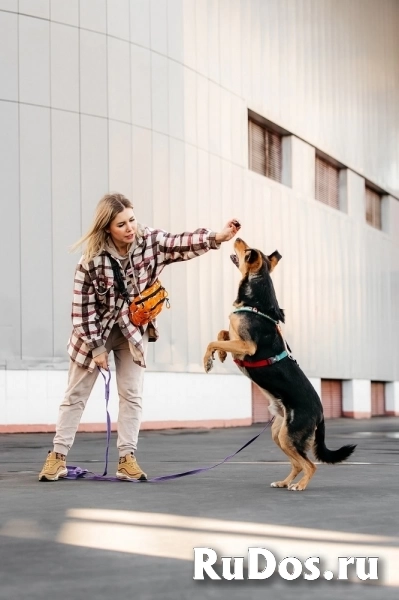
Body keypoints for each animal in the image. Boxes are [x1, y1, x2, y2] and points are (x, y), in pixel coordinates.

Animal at [203, 237, 356, 490]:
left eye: (246, 250)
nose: (237, 236)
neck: (256, 302)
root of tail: (321, 413)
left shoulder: (247, 346)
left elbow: (213, 340)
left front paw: (208, 359)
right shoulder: (236, 338)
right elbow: (222, 334)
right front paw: (222, 355)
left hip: (288, 435)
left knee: (310, 465)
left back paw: (299, 486)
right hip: (279, 433)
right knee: (297, 463)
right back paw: (284, 482)